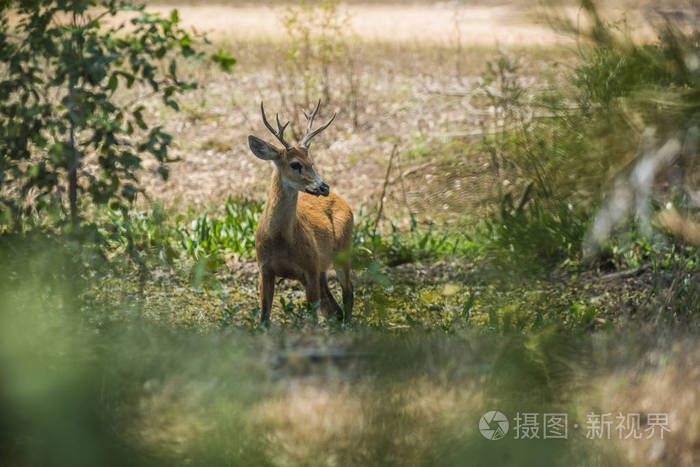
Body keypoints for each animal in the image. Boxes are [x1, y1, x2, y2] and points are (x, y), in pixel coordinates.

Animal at [247, 99, 356, 326]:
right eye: (296, 164)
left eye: (312, 163)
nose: (324, 187)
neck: (280, 240)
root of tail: (344, 201)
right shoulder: (264, 269)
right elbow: (264, 318)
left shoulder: (310, 269)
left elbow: (311, 320)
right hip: (323, 268)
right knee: (333, 307)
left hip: (343, 249)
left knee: (348, 293)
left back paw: (347, 326)